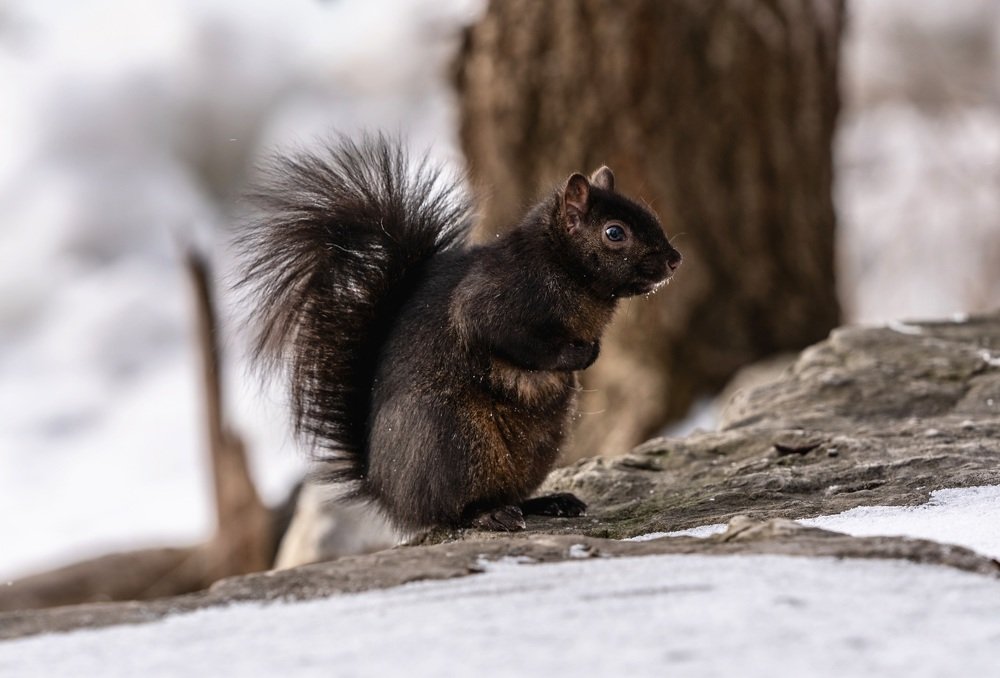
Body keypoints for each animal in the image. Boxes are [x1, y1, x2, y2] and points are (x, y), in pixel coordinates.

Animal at [237, 134, 681, 533]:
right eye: (614, 232)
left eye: (649, 214)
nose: (675, 260)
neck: (563, 267)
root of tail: (386, 492)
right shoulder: (496, 298)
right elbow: (507, 336)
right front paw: (576, 355)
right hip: (452, 439)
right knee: (449, 511)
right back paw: (488, 515)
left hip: (537, 446)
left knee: (507, 494)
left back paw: (547, 502)